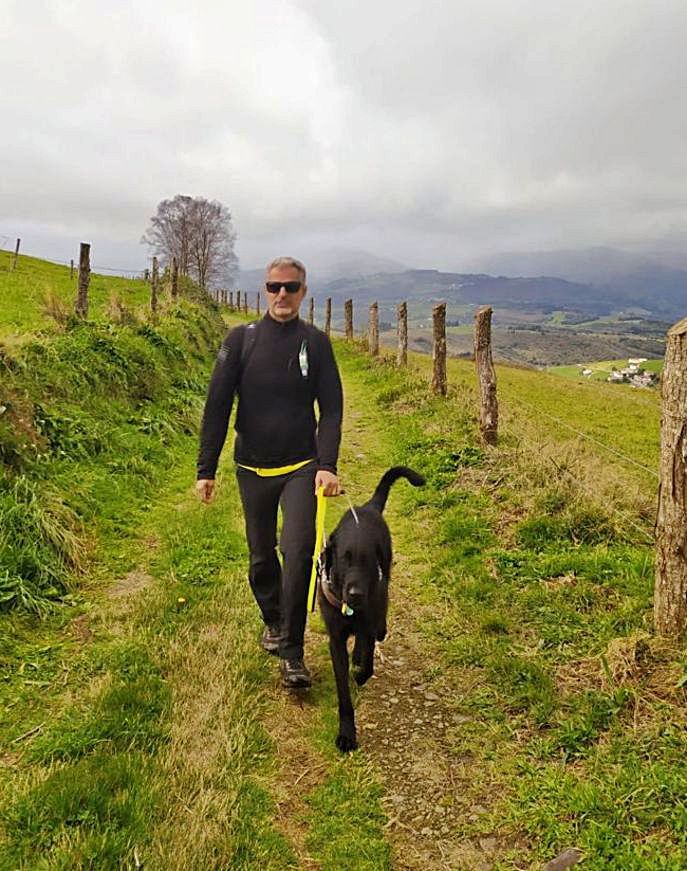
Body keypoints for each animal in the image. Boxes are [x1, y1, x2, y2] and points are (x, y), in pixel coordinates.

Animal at [318, 466, 424, 752]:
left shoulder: (367, 618)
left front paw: (361, 674)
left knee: (377, 623)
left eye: (366, 561)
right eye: (344, 559)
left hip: (385, 577)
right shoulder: (335, 639)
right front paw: (347, 733)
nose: (355, 594)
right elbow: (344, 691)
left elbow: (367, 661)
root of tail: (368, 507)